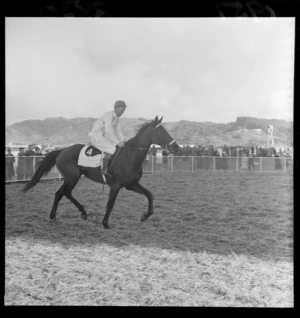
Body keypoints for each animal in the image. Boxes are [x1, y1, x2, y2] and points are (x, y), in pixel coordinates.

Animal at [23, 116, 179, 229]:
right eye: (161, 132)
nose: (176, 147)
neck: (130, 155)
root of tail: (62, 150)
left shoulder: (131, 185)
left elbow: (150, 195)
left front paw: (145, 216)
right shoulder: (116, 185)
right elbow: (110, 203)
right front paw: (105, 223)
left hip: (71, 178)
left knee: (64, 193)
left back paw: (78, 213)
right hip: (72, 178)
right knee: (61, 193)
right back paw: (58, 215)